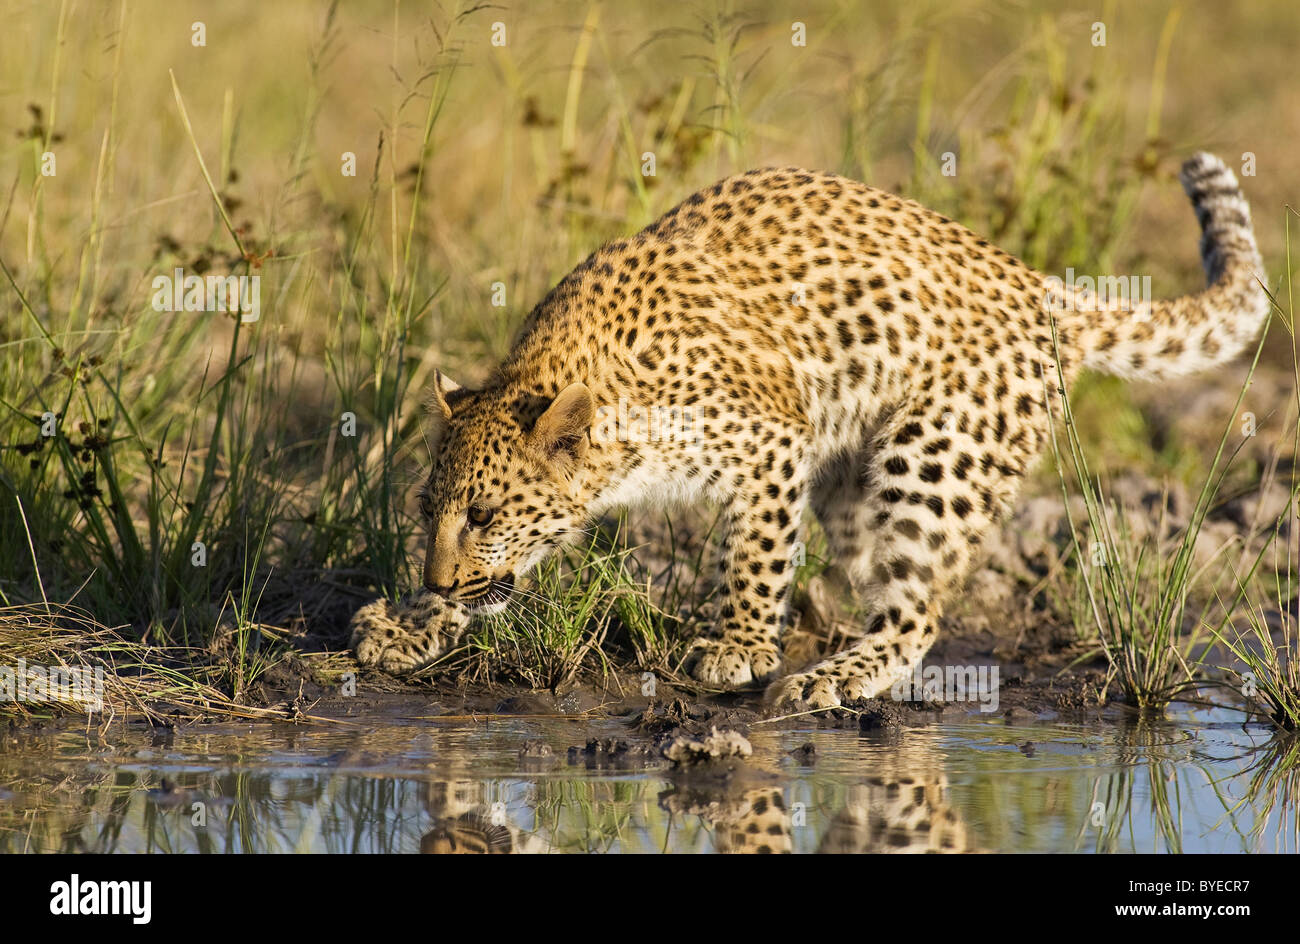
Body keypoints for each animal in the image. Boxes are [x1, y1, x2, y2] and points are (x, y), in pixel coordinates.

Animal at [351, 151, 1263, 712]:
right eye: (428, 510)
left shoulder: (770, 441)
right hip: (859, 478)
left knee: (917, 613)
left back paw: (827, 677)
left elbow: (755, 555)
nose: (433, 581)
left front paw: (742, 646)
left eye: (484, 516)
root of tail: (1035, 283)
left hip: (934, 455)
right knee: (878, 573)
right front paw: (410, 624)